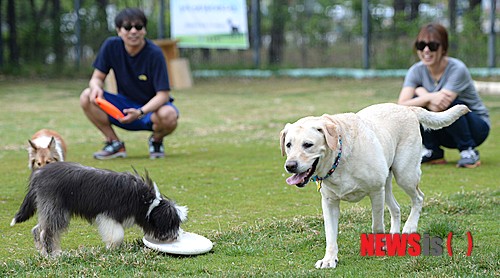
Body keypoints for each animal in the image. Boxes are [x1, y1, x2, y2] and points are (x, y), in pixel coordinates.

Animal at [11, 163, 188, 256]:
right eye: (171, 224)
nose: (176, 237)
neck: (147, 202)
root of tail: (40, 173)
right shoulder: (109, 215)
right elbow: (116, 235)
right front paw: (112, 249)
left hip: (52, 209)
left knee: (37, 229)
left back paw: (44, 252)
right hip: (56, 209)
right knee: (45, 231)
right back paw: (52, 255)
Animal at [282, 103, 468, 268]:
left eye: (308, 144)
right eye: (288, 145)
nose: (290, 165)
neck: (340, 159)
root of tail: (406, 107)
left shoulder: (376, 192)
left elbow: (377, 225)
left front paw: (379, 247)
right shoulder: (329, 202)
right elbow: (330, 234)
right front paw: (329, 259)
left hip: (404, 174)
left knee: (419, 198)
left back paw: (409, 228)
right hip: (388, 182)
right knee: (396, 208)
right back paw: (394, 237)